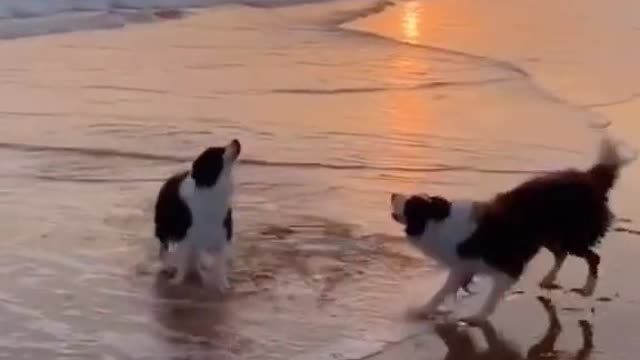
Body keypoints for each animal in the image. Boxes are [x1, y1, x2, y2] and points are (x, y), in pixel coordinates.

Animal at [154, 139, 241, 292]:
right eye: (219, 151)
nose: (236, 140)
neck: (210, 187)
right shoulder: (184, 234)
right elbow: (182, 262)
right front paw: (177, 281)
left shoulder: (222, 233)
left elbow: (221, 264)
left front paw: (223, 285)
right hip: (164, 226)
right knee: (164, 248)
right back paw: (169, 266)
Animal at [390, 136, 636, 322]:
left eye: (410, 204)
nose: (392, 194)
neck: (439, 220)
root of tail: (590, 178)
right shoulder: (463, 267)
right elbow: (443, 291)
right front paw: (424, 310)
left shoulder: (508, 267)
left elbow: (490, 295)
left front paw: (478, 317)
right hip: (550, 236)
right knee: (561, 254)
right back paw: (548, 279)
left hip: (572, 235)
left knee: (592, 257)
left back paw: (587, 289)